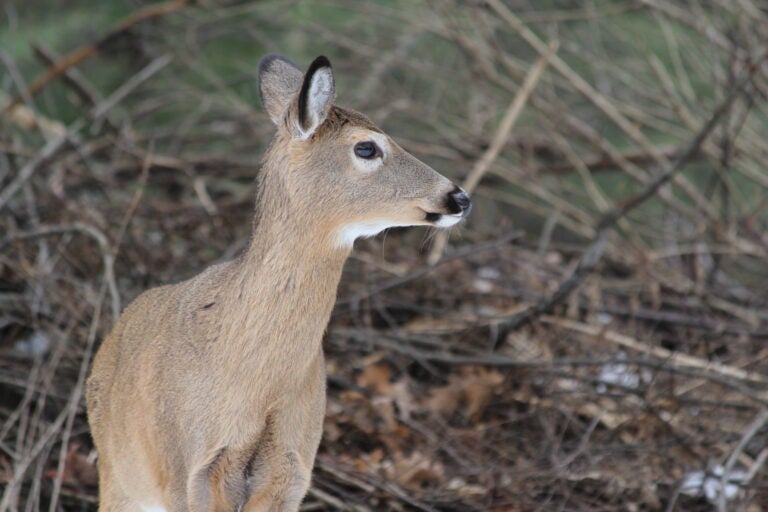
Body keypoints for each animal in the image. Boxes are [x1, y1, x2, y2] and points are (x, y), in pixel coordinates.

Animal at [84, 54, 468, 510]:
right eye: (367, 147)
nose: (459, 197)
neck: (258, 383)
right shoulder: (188, 471)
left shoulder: (291, 471)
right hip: (121, 477)